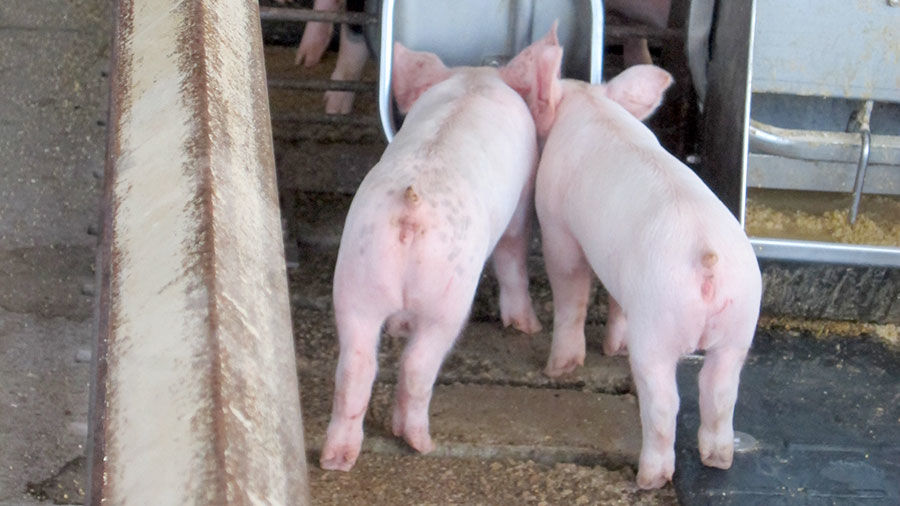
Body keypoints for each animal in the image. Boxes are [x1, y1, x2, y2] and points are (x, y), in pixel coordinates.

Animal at [319, 30, 563, 471]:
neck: (475, 81)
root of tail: (411, 205)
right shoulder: (521, 201)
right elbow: (513, 253)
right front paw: (528, 327)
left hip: (356, 278)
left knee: (355, 367)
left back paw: (338, 459)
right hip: (447, 298)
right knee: (417, 365)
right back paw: (419, 442)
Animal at [531, 65, 762, 489]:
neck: (590, 104)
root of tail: (706, 254)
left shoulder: (556, 225)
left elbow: (570, 288)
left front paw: (557, 369)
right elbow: (616, 301)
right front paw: (612, 349)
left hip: (658, 325)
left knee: (664, 402)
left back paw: (649, 478)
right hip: (740, 321)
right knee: (719, 390)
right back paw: (718, 460)